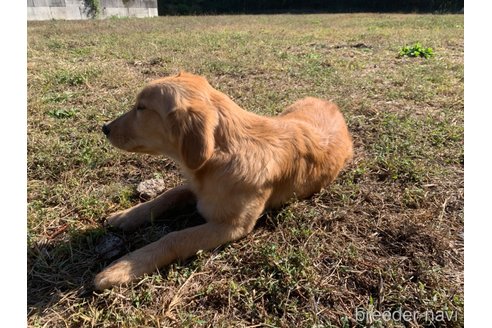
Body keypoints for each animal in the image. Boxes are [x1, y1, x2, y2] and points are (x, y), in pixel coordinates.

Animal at [94, 71, 352, 290]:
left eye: (141, 107)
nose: (104, 128)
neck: (221, 155)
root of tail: (331, 104)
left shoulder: (232, 227)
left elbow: (175, 237)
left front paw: (123, 267)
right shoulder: (196, 188)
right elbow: (168, 195)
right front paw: (127, 216)